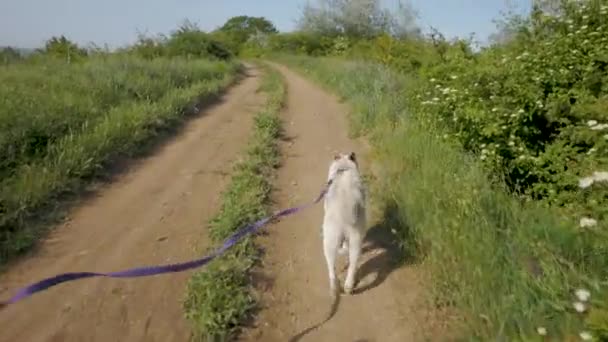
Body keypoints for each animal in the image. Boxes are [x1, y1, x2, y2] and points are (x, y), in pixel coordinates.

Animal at [324, 151, 366, 296]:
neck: (343, 169)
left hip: (330, 241)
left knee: (331, 268)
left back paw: (337, 287)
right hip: (355, 239)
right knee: (351, 265)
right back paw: (348, 286)